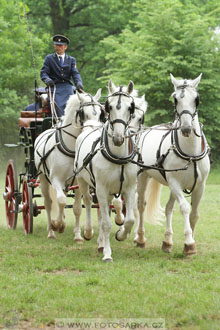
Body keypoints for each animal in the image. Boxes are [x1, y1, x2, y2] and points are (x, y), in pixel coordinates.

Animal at [33, 90, 104, 240]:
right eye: (83, 113)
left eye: (100, 113)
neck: (71, 148)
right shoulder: (55, 179)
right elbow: (61, 200)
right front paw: (57, 224)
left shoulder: (78, 181)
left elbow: (76, 208)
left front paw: (77, 235)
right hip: (43, 178)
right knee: (48, 203)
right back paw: (51, 231)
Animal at [74, 79, 139, 260]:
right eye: (109, 106)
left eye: (130, 107)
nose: (118, 138)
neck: (118, 156)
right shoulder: (101, 189)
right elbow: (106, 223)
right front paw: (108, 254)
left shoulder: (129, 188)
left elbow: (129, 220)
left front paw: (121, 234)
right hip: (83, 181)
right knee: (88, 202)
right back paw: (89, 232)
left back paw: (101, 243)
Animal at [137, 74, 211, 255]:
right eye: (175, 99)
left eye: (196, 99)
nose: (186, 128)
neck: (190, 152)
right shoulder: (175, 182)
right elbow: (184, 208)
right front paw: (189, 242)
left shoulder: (200, 185)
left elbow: (194, 214)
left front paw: (190, 241)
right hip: (144, 177)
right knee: (141, 206)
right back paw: (140, 239)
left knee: (168, 208)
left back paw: (167, 241)